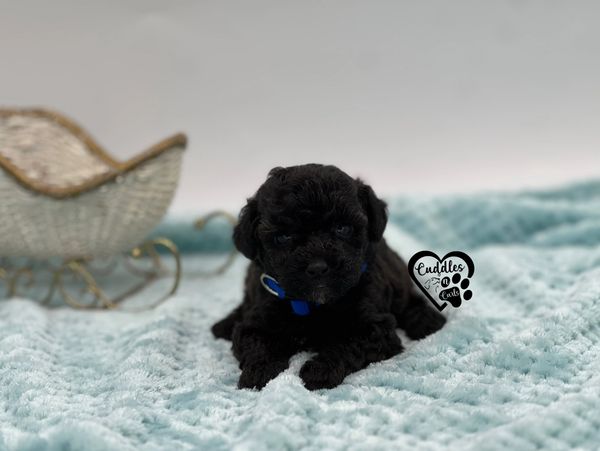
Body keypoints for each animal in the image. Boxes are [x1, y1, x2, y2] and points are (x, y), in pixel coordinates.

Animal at [212, 164, 446, 390]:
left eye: (342, 228)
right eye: (283, 237)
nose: (318, 267)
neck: (313, 305)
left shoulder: (375, 328)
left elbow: (348, 343)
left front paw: (320, 370)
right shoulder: (257, 320)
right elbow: (257, 343)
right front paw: (259, 371)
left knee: (409, 300)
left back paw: (427, 321)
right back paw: (224, 325)